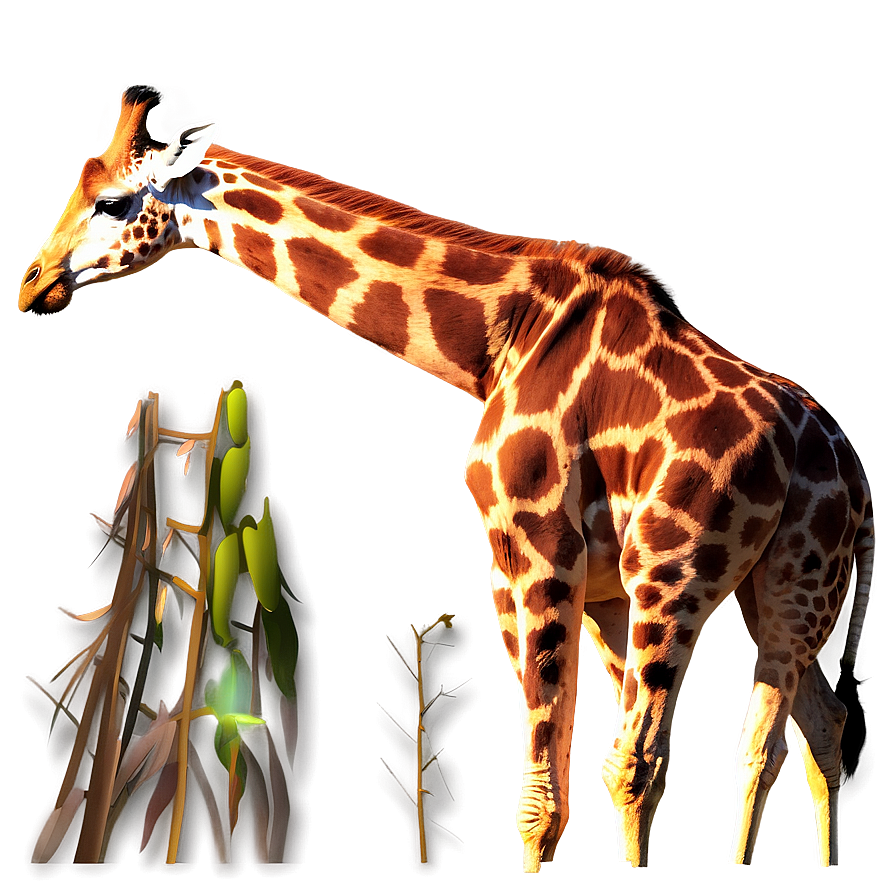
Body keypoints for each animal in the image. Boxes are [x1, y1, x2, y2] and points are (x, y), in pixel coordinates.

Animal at [19, 86, 874, 871]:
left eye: (112, 201)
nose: (33, 283)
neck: (500, 340)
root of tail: (858, 484)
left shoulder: (534, 551)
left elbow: (546, 799)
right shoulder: (594, 586)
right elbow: (573, 774)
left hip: (676, 574)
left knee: (654, 761)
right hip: (786, 589)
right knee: (808, 734)